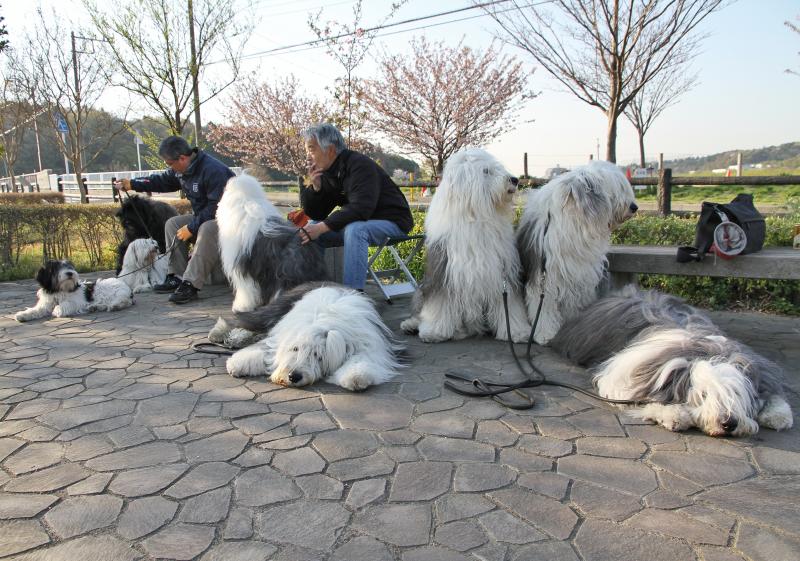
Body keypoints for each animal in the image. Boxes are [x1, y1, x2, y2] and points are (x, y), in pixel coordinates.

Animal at [213, 282, 403, 391]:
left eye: (318, 356)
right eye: (295, 348)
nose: (294, 376)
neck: (322, 322)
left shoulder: (368, 344)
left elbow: (363, 358)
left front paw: (355, 376)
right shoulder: (278, 336)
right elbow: (265, 349)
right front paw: (238, 363)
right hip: (276, 310)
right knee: (243, 320)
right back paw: (223, 334)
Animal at [400, 148, 530, 343]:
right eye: (486, 171)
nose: (514, 179)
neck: (476, 218)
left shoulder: (503, 271)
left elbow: (511, 305)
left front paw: (517, 332)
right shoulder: (443, 271)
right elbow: (439, 304)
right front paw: (434, 332)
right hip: (422, 289)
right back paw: (410, 325)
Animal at [517, 160, 638, 344]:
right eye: (616, 189)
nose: (634, 207)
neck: (577, 222)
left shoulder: (577, 275)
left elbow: (573, 302)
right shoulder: (544, 274)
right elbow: (543, 304)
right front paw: (545, 333)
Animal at [549, 286, 794, 437]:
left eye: (736, 393)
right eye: (703, 395)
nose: (728, 423)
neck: (701, 351)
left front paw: (779, 415)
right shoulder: (626, 377)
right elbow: (645, 399)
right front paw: (674, 415)